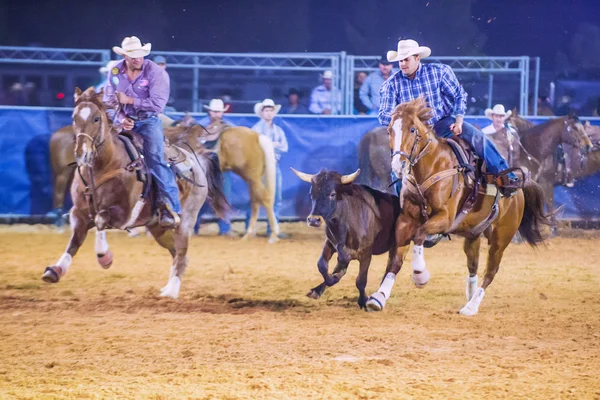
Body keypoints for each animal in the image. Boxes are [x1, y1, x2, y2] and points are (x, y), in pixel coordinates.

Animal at [41, 88, 230, 300]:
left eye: (96, 118)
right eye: (74, 117)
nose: (82, 153)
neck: (105, 166)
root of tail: (196, 162)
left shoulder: (123, 214)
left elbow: (100, 219)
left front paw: (105, 257)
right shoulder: (79, 212)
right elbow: (75, 240)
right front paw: (55, 270)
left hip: (186, 221)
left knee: (181, 254)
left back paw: (171, 291)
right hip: (158, 228)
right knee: (178, 254)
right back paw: (167, 288)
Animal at [360, 97, 552, 316]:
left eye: (412, 129)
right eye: (389, 130)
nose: (398, 166)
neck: (432, 166)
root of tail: (519, 186)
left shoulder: (445, 217)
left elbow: (420, 234)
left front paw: (420, 274)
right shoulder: (406, 219)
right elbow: (396, 260)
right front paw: (379, 297)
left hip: (502, 237)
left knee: (491, 271)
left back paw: (471, 306)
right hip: (473, 234)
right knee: (473, 265)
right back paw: (470, 294)